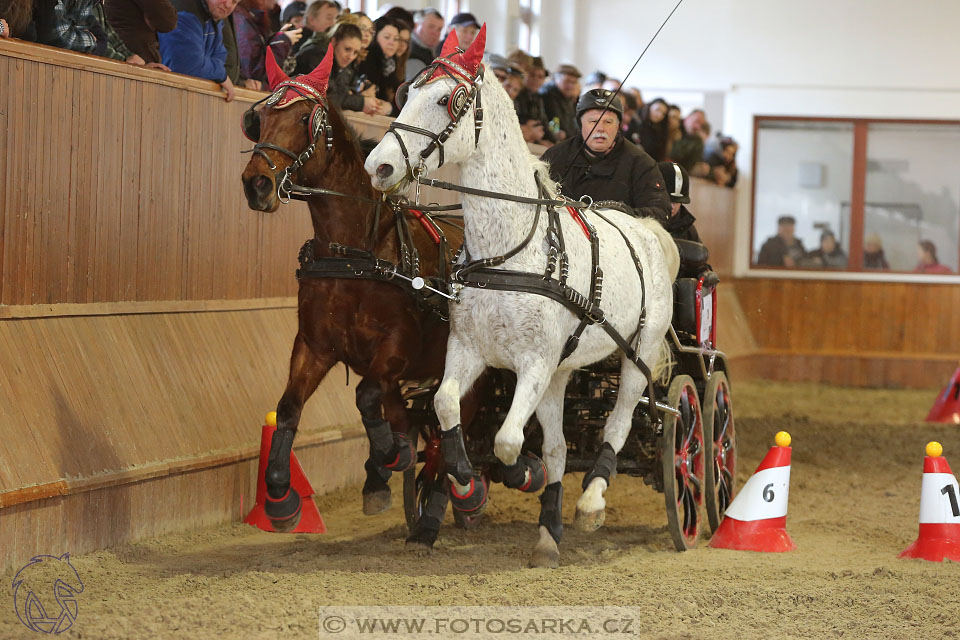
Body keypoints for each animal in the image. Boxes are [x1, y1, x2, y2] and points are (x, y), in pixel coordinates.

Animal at [240, 47, 464, 548]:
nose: (256, 184)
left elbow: (365, 396)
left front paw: (390, 459)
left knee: (452, 428)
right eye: (258, 119)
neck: (355, 252)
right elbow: (289, 407)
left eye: (304, 118)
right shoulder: (314, 345)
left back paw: (442, 506)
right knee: (414, 418)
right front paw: (280, 497)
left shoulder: (396, 348)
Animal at [364, 25, 680, 568]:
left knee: (618, 426)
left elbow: (509, 441)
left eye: (448, 99)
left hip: (636, 356)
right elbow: (447, 408)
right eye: (405, 92)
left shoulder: (534, 361)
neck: (509, 251)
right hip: (563, 370)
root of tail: (648, 229)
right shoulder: (469, 349)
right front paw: (464, 483)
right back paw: (549, 532)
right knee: (558, 447)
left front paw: (518, 476)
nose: (378, 166)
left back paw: (592, 503)